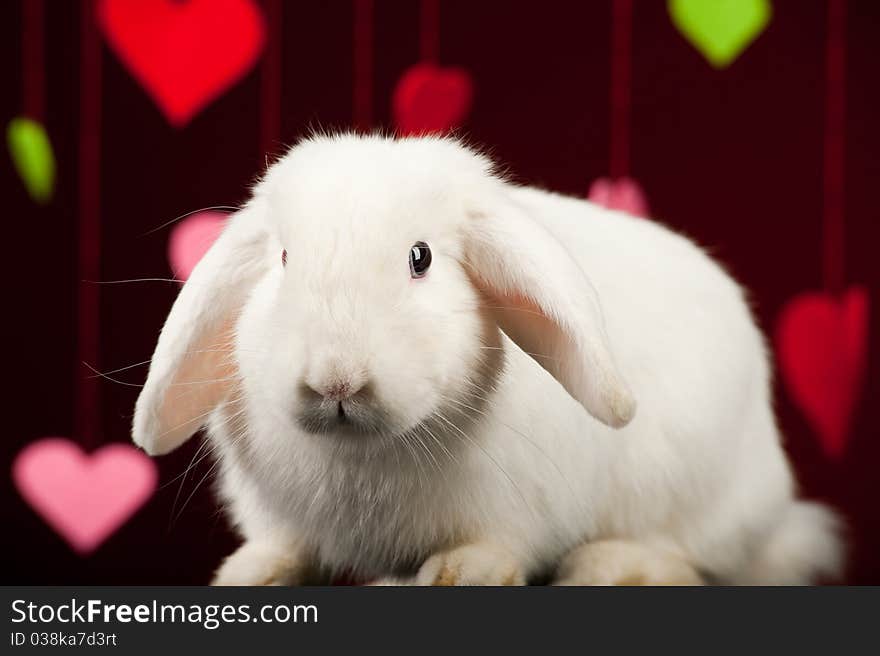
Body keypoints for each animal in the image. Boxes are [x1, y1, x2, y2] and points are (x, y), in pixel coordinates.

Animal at [134, 133, 844, 584]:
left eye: (420, 258)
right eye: (283, 258)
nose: (336, 380)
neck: (363, 453)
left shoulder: (516, 510)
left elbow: (495, 547)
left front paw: (458, 572)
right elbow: (283, 549)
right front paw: (248, 572)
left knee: (687, 558)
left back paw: (608, 567)